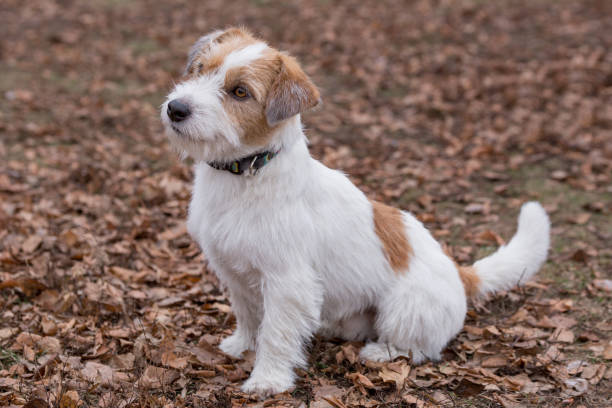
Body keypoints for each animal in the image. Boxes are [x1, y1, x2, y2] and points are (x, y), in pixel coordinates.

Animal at [160, 27, 552, 396]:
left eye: (240, 92)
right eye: (200, 69)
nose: (176, 109)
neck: (246, 173)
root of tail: (460, 273)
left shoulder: (287, 282)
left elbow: (275, 332)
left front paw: (268, 379)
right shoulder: (235, 272)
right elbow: (248, 315)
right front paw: (241, 346)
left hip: (404, 310)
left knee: (420, 349)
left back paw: (381, 352)